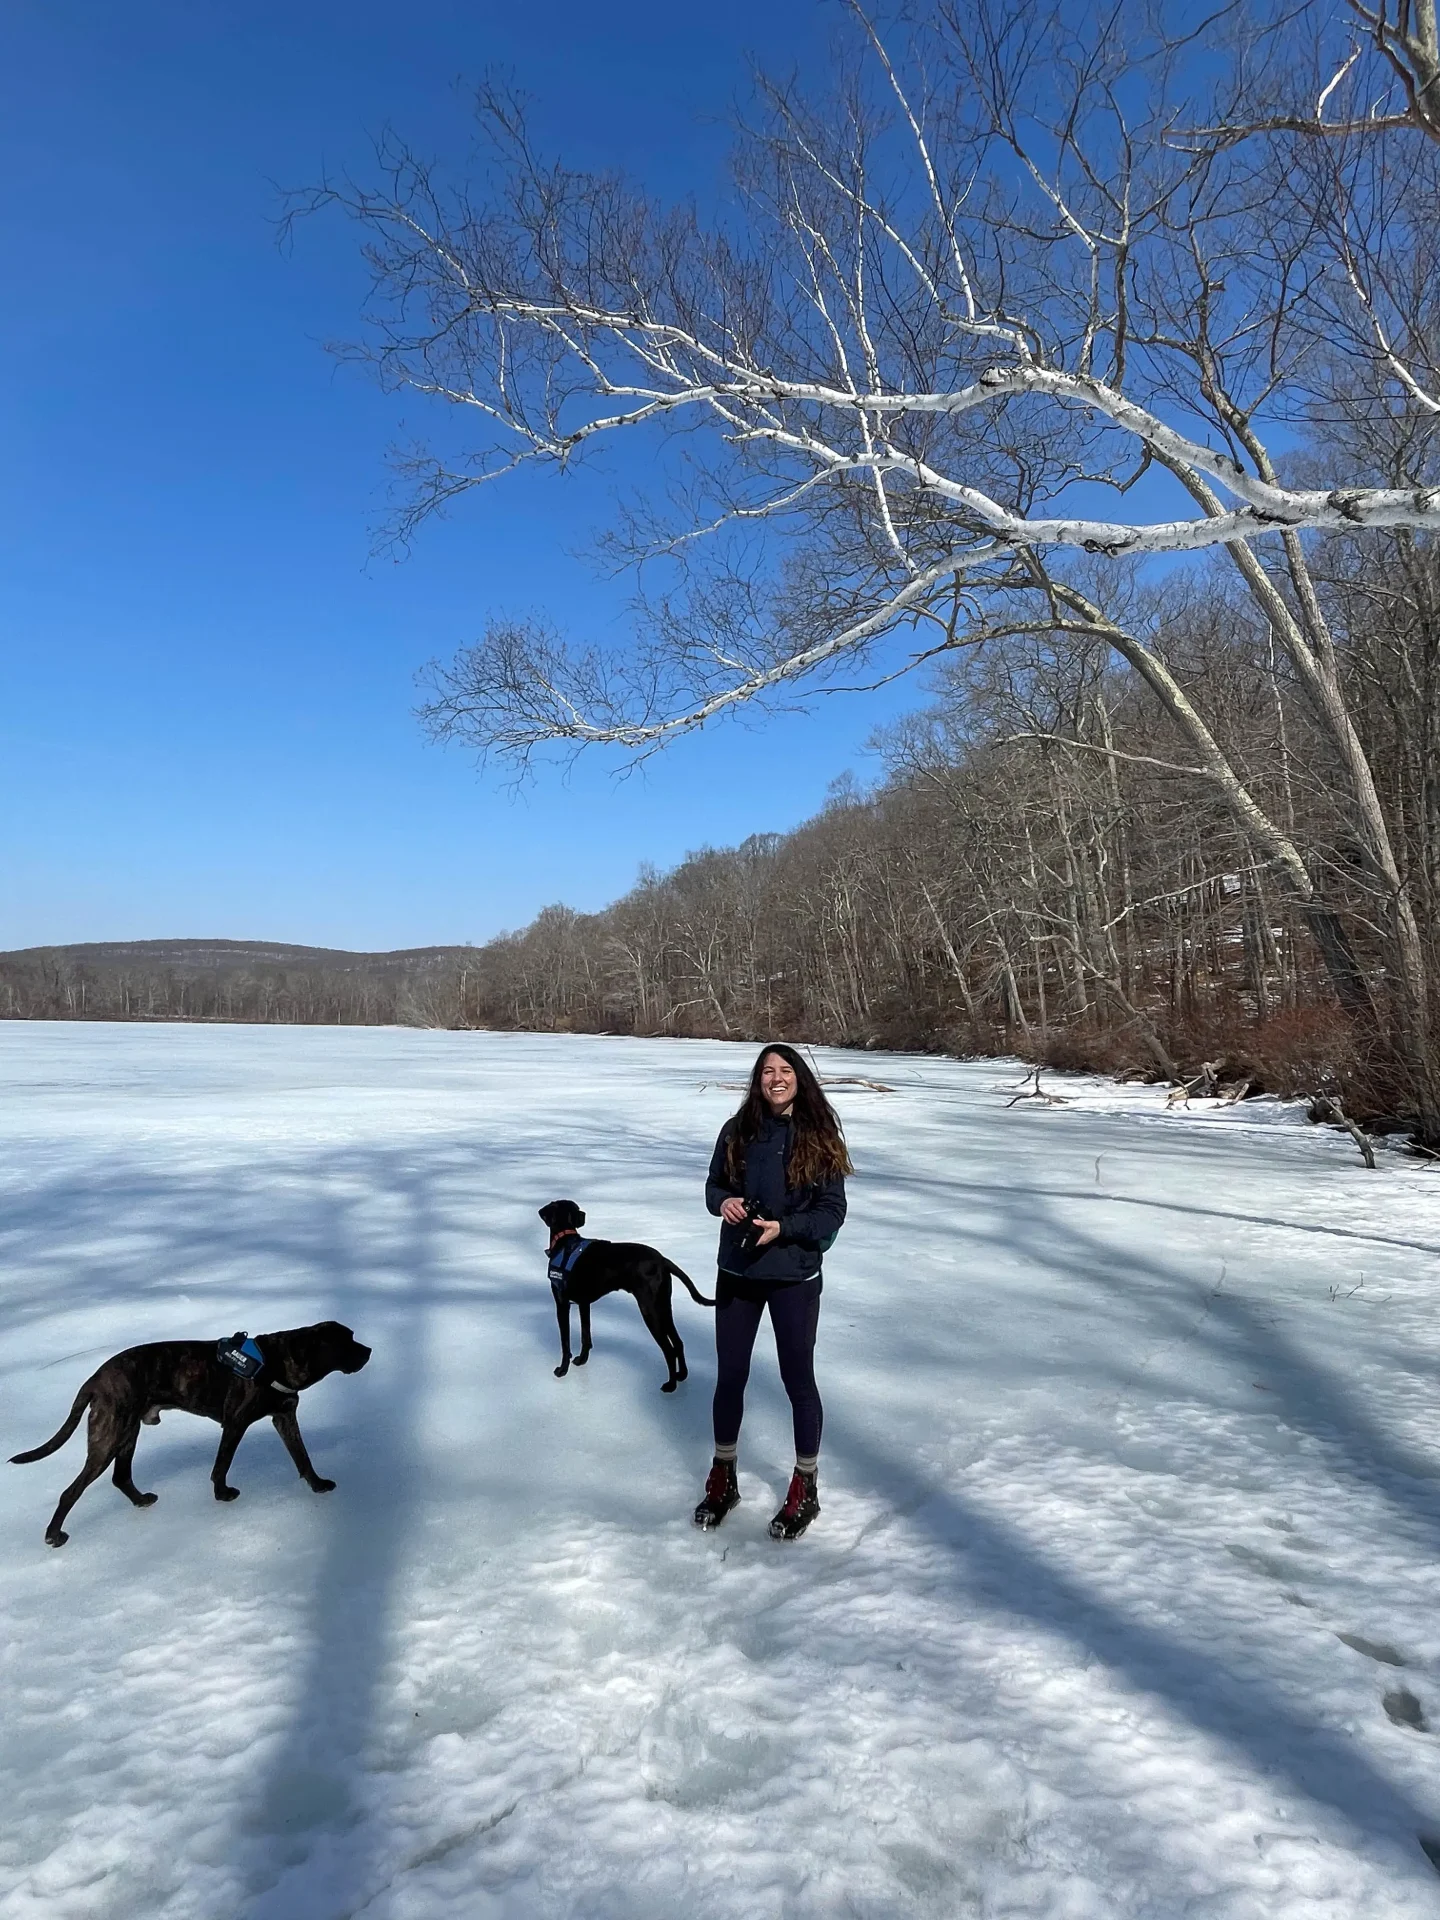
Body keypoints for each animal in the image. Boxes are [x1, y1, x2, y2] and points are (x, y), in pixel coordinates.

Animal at [11, 1320, 372, 1543]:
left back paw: (141, 1500)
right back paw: (54, 1535)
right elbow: (222, 1464)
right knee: (72, 1491)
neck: (278, 1361)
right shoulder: (235, 1422)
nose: (368, 1351)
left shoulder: (285, 1417)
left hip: (127, 1433)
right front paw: (222, 1494)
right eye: (347, 1342)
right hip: (109, 1436)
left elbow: (303, 1458)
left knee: (121, 1477)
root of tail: (95, 1378)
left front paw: (318, 1485)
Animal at [537, 1198, 718, 1397]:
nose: (584, 1214)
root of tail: (662, 1260)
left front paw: (562, 1370)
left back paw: (670, 1385)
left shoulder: (562, 1304)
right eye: (576, 1210)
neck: (564, 1240)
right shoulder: (584, 1304)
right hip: (663, 1307)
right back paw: (682, 1375)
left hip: (649, 1310)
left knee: (669, 1350)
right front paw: (582, 1360)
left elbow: (565, 1343)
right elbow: (586, 1336)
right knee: (678, 1342)